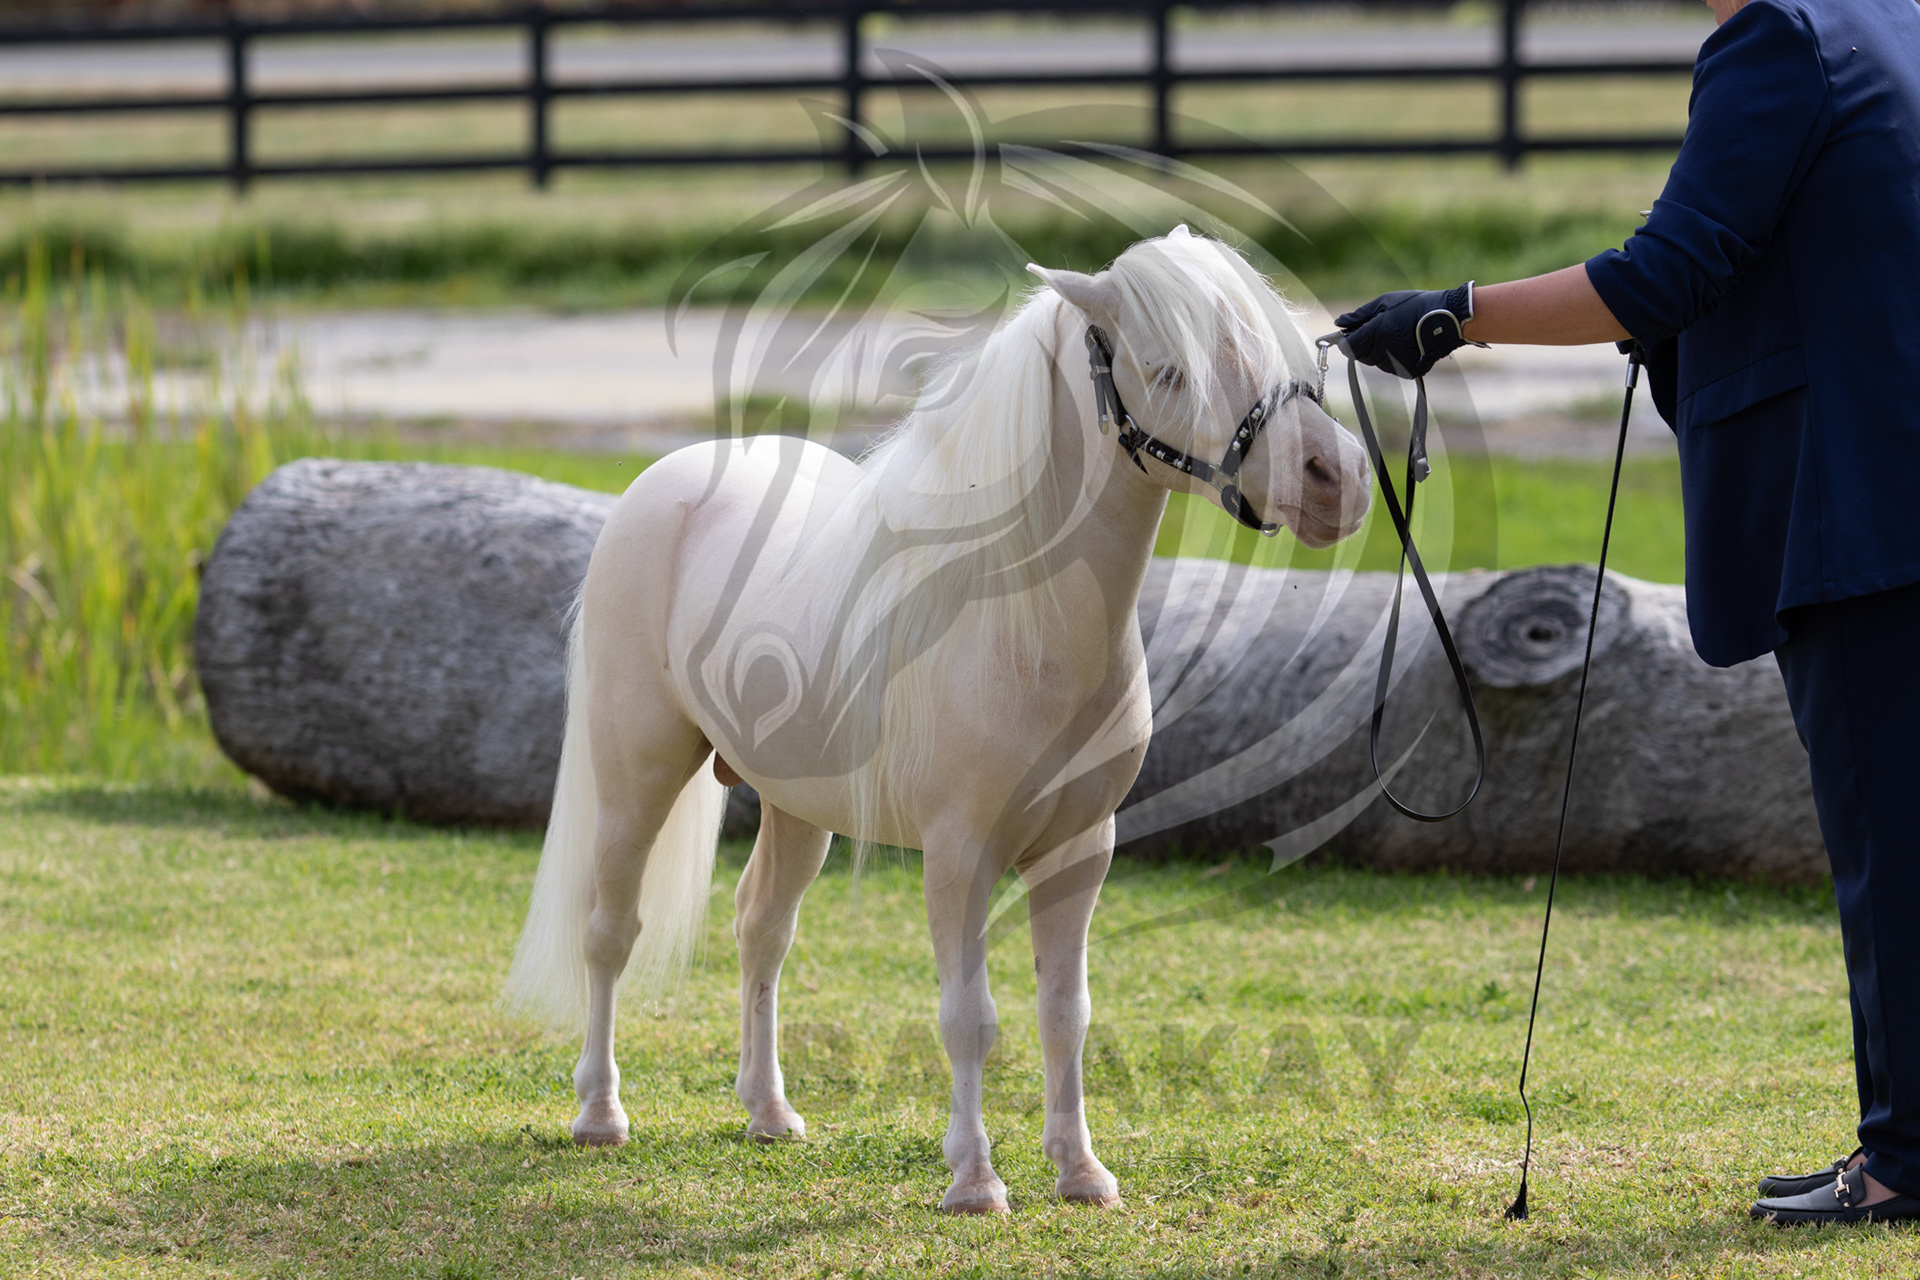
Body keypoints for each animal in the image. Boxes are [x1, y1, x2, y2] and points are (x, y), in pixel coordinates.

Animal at [503, 225, 1372, 1213]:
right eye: (1168, 370)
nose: (1337, 480)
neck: (1019, 623)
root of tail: (666, 484)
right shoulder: (960, 856)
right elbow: (970, 1017)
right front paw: (975, 1180)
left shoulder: (1081, 853)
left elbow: (1064, 1013)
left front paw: (1081, 1171)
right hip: (636, 780)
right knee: (610, 932)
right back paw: (599, 1114)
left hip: (796, 809)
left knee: (762, 929)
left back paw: (768, 1110)